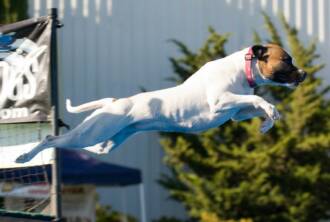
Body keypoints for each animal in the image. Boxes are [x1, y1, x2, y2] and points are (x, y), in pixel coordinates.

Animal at [15, 44, 306, 162]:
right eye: (287, 60)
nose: (303, 74)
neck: (244, 69)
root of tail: (115, 102)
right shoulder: (220, 102)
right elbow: (259, 97)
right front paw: (271, 112)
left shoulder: (233, 111)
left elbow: (255, 103)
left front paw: (267, 123)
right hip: (92, 132)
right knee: (52, 139)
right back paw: (24, 156)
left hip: (105, 141)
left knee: (82, 146)